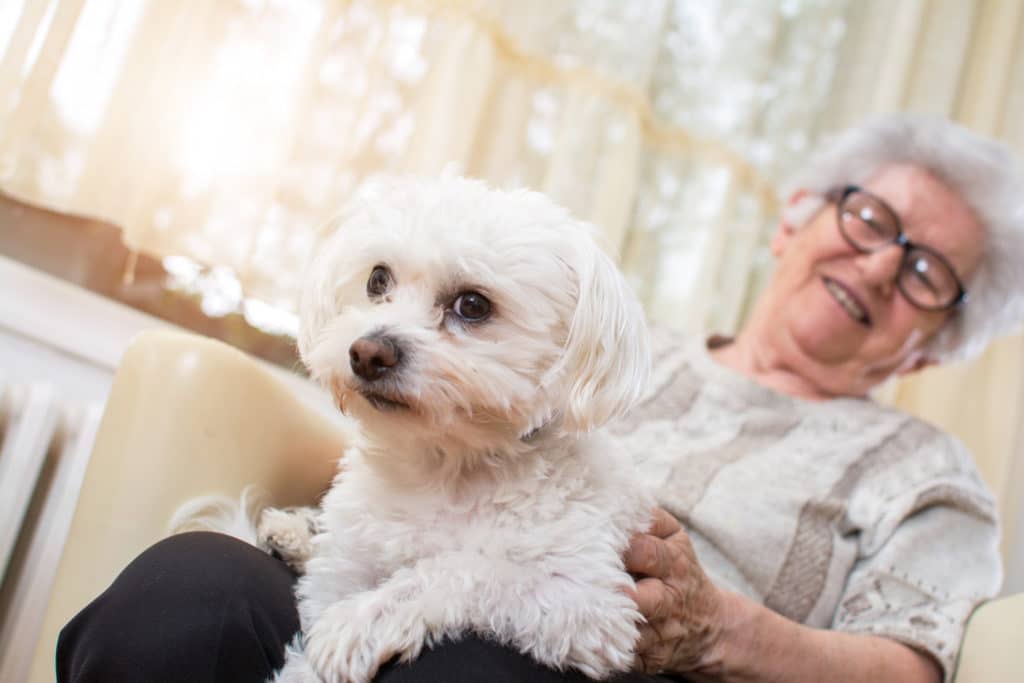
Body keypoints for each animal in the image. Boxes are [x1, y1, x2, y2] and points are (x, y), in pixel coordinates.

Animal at [190, 178, 647, 683]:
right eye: (377, 279)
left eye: (473, 305)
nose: (367, 353)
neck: (441, 467)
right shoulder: (338, 574)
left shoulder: (587, 605)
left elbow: (467, 567)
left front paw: (361, 620)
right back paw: (294, 533)